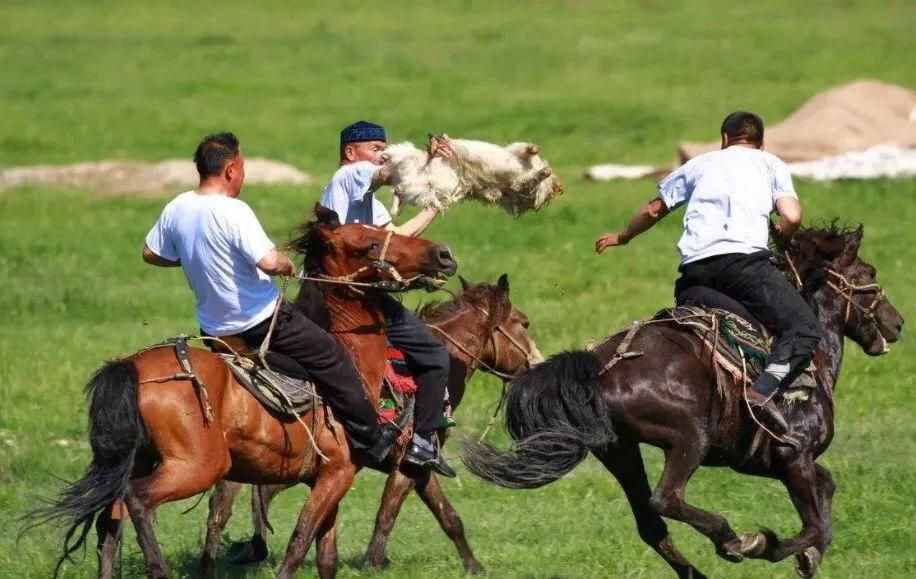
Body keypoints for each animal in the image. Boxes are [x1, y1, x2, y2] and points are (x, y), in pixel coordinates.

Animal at [27, 206, 458, 576]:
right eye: (368, 244)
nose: (443, 254)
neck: (352, 356)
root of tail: (132, 367)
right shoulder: (335, 474)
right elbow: (298, 543)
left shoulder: (331, 476)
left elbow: (326, 557)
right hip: (196, 467)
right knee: (137, 500)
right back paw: (157, 567)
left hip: (135, 461)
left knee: (109, 523)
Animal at [200, 274, 544, 572]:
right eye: (523, 323)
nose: (537, 364)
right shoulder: (411, 464)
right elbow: (390, 512)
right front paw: (374, 562)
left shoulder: (416, 468)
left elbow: (447, 516)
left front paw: (473, 566)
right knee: (250, 498)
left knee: (224, 506)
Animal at [462, 225, 904, 579]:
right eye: (869, 274)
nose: (897, 323)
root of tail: (598, 365)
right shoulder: (793, 457)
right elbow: (812, 524)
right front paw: (765, 544)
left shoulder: (769, 461)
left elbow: (825, 497)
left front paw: (808, 558)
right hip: (689, 438)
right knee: (666, 498)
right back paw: (730, 539)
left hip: (620, 449)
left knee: (650, 522)